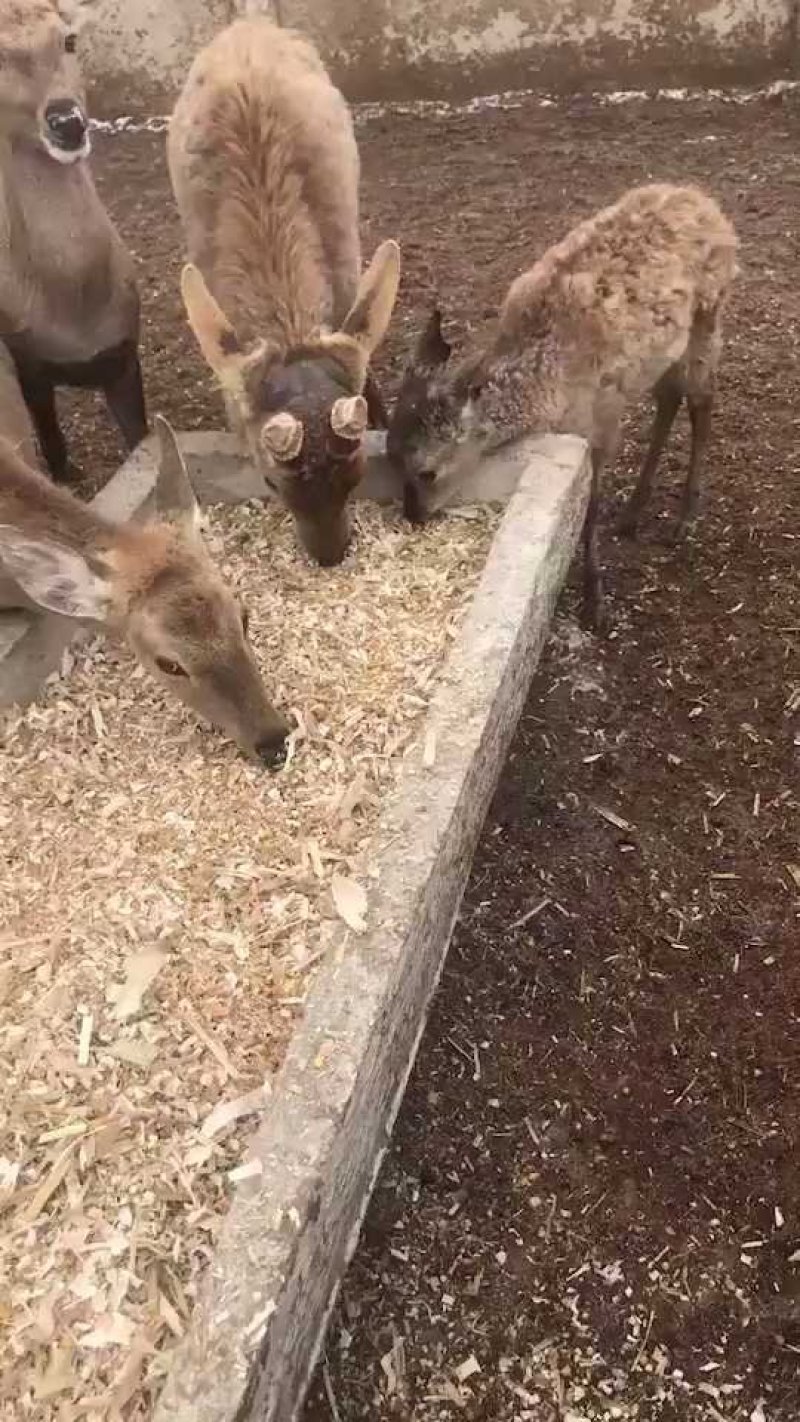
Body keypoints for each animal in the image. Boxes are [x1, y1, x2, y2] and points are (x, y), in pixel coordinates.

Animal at [0, 0, 147, 483]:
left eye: (69, 39)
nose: (67, 121)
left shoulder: (123, 352)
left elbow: (142, 441)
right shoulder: (25, 359)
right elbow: (51, 442)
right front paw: (69, 473)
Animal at [387, 183, 738, 633]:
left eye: (427, 472)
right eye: (392, 461)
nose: (413, 515)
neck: (548, 386)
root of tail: (705, 203)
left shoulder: (599, 419)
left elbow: (590, 507)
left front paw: (594, 601)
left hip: (709, 316)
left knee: (701, 398)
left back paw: (686, 518)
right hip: (666, 352)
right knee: (669, 398)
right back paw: (633, 513)